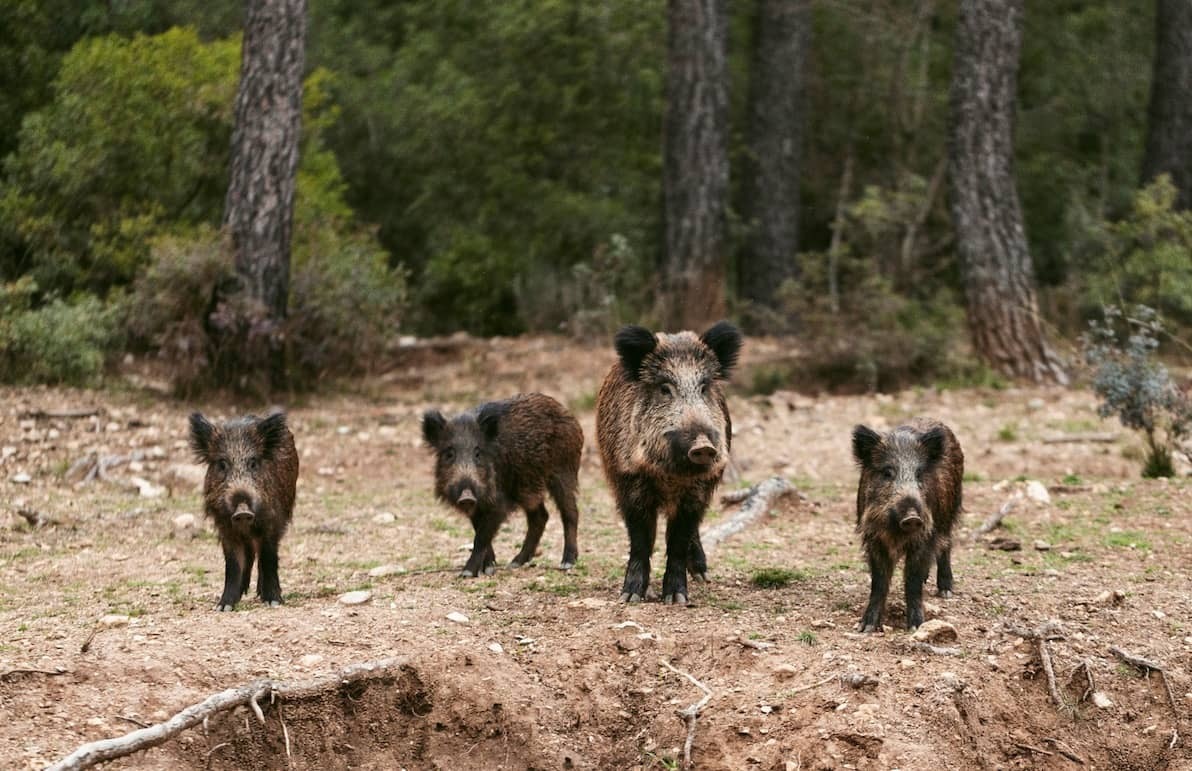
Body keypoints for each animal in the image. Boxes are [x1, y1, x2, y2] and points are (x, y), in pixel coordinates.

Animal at [189, 411, 299, 611]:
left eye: (253, 463)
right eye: (222, 464)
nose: (242, 512)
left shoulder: (271, 523)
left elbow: (268, 557)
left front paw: (273, 602)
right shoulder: (225, 528)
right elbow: (233, 564)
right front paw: (224, 607)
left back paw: (260, 594)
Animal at [422, 393, 583, 577]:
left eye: (478, 453)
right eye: (449, 454)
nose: (466, 496)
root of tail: (567, 413)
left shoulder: (499, 503)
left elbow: (482, 536)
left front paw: (467, 573)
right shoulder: (478, 506)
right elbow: (479, 531)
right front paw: (488, 568)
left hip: (563, 471)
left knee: (570, 512)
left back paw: (567, 563)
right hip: (528, 488)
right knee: (541, 517)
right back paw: (515, 563)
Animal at [595, 321, 742, 605]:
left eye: (704, 387)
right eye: (665, 388)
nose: (703, 446)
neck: (671, 477)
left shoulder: (698, 489)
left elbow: (678, 540)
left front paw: (676, 599)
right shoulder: (629, 480)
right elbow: (641, 540)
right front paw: (630, 596)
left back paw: (702, 576)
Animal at [851, 418, 964, 632]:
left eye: (919, 473)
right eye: (887, 472)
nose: (912, 517)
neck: (897, 532)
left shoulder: (926, 535)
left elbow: (912, 580)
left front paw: (916, 627)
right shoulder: (874, 537)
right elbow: (879, 582)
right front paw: (866, 628)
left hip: (950, 511)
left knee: (947, 544)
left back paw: (945, 591)